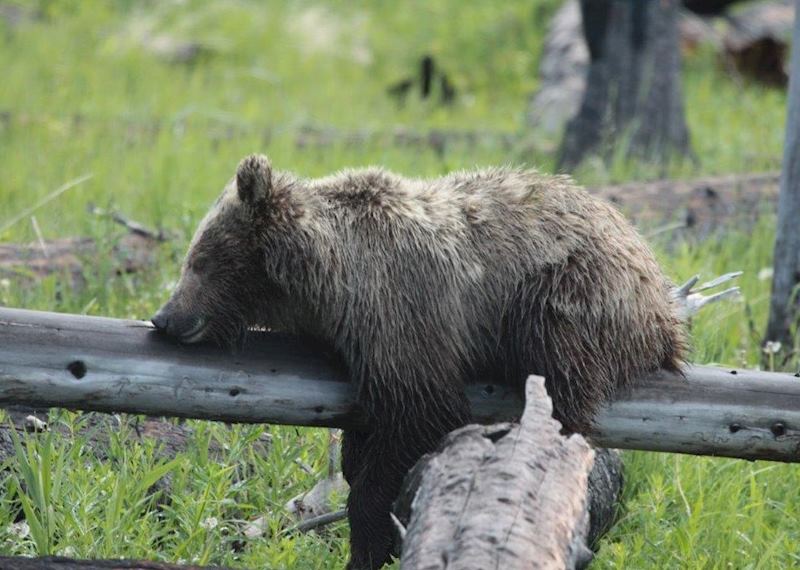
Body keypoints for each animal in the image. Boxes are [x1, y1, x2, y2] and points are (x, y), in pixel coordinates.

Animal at [151, 154, 686, 569]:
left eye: (200, 260)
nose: (165, 317)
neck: (325, 284)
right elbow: (367, 424)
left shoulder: (401, 314)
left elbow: (420, 412)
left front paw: (371, 536)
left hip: (564, 293)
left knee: (561, 375)